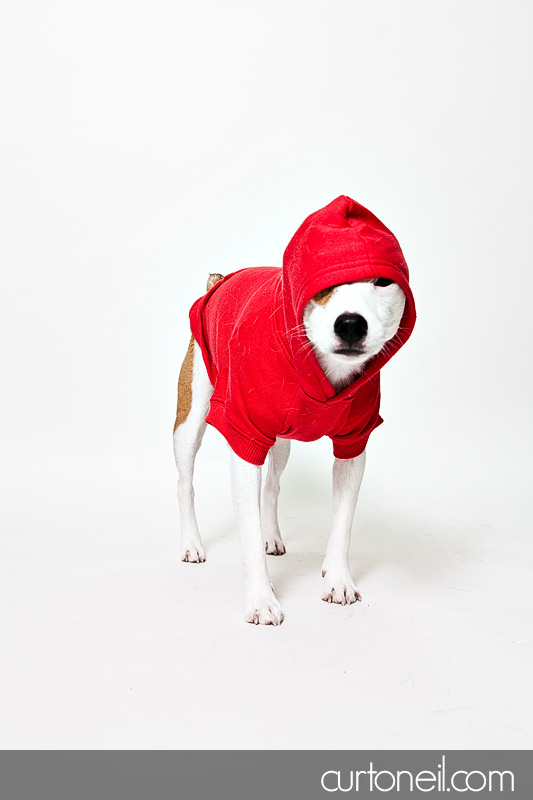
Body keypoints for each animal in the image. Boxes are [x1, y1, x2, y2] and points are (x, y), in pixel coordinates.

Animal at [172, 195, 414, 624]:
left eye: (383, 282)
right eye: (322, 289)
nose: (350, 324)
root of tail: (220, 280)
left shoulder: (354, 444)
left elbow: (343, 522)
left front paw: (338, 579)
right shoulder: (244, 439)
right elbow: (247, 532)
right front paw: (261, 600)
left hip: (281, 442)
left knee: (272, 485)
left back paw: (272, 536)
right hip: (190, 421)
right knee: (186, 483)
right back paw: (192, 544)